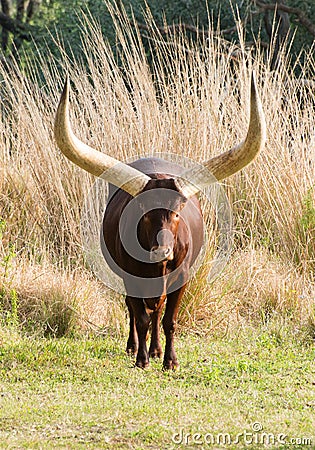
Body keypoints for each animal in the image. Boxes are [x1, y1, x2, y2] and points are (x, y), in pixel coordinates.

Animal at [54, 74, 266, 370]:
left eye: (178, 209)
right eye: (143, 209)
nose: (162, 251)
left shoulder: (182, 277)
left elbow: (169, 319)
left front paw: (170, 360)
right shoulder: (129, 277)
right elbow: (140, 316)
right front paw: (141, 359)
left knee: (158, 308)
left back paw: (155, 349)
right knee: (135, 309)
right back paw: (135, 347)